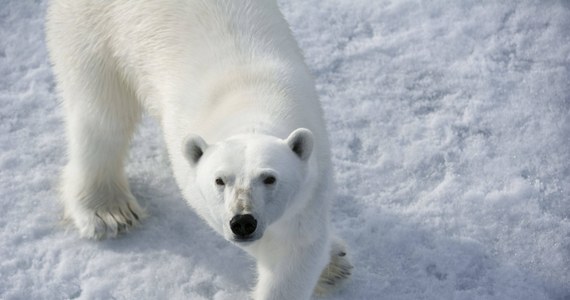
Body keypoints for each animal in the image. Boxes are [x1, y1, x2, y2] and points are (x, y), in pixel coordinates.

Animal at [47, 0, 350, 298]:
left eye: (270, 178)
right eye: (219, 180)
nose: (243, 222)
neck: (249, 100)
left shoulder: (313, 178)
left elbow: (296, 246)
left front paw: (332, 261)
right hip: (96, 29)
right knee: (101, 113)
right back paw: (108, 212)